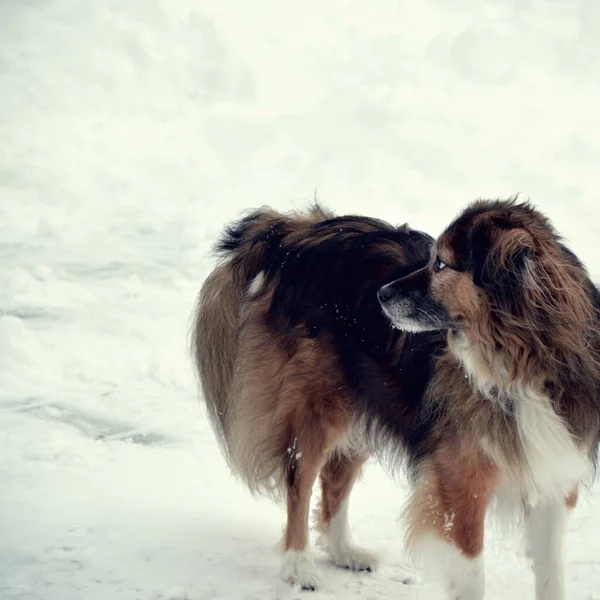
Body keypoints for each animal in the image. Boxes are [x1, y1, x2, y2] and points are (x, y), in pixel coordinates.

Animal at [193, 199, 600, 596]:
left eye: (441, 264)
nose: (381, 294)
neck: (523, 364)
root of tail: (297, 233)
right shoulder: (460, 486)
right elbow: (472, 576)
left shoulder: (555, 475)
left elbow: (552, 575)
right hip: (320, 408)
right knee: (299, 484)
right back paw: (299, 567)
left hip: (368, 399)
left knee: (334, 480)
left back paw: (344, 552)